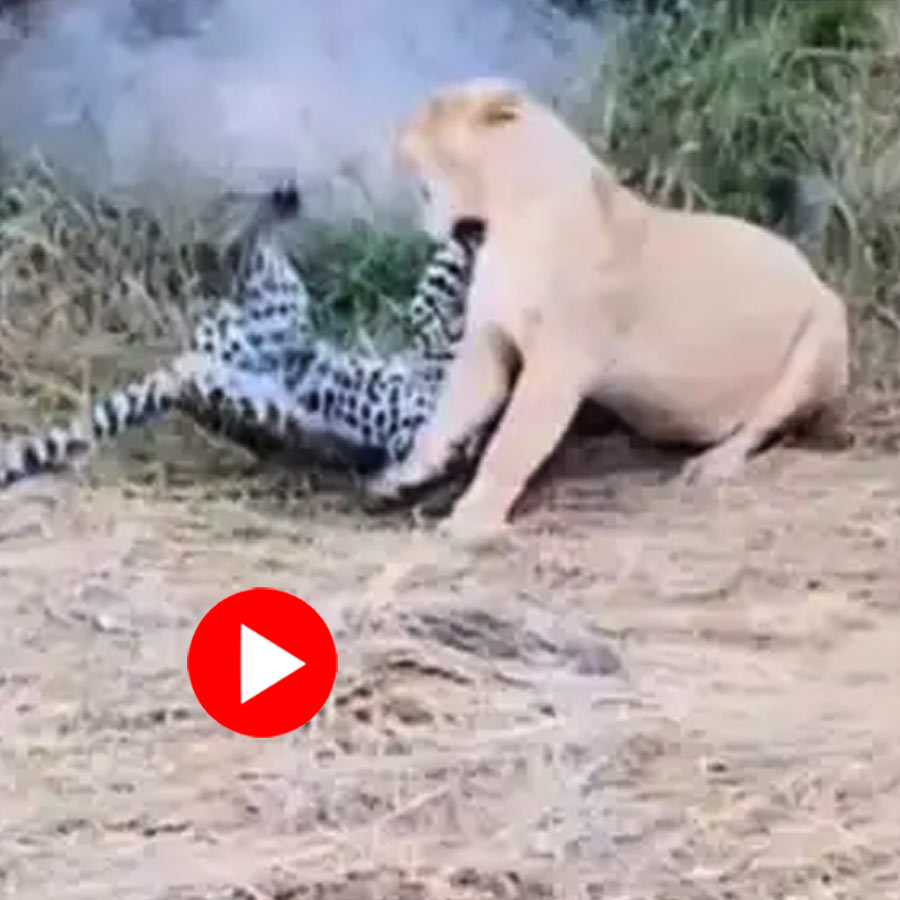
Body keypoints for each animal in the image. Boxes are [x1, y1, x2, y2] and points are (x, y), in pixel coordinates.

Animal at [367, 77, 850, 541]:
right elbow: (448, 415)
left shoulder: (561, 359)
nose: (396, 128)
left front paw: (472, 519)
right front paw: (399, 477)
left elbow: (512, 442)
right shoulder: (489, 340)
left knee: (763, 425)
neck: (505, 219)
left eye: (433, 108)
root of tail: (813, 274)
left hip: (825, 332)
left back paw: (711, 464)